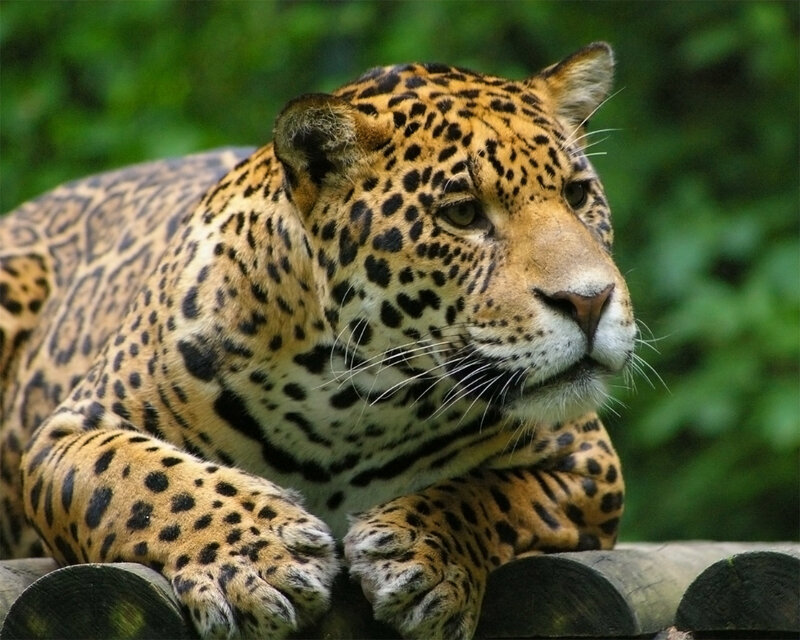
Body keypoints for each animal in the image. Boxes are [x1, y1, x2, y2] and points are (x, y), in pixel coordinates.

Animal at [0, 42, 634, 640]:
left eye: (578, 194)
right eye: (462, 213)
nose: (589, 301)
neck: (353, 401)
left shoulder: (590, 465)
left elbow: (492, 493)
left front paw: (421, 549)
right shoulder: (68, 434)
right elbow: (143, 479)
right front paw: (258, 557)